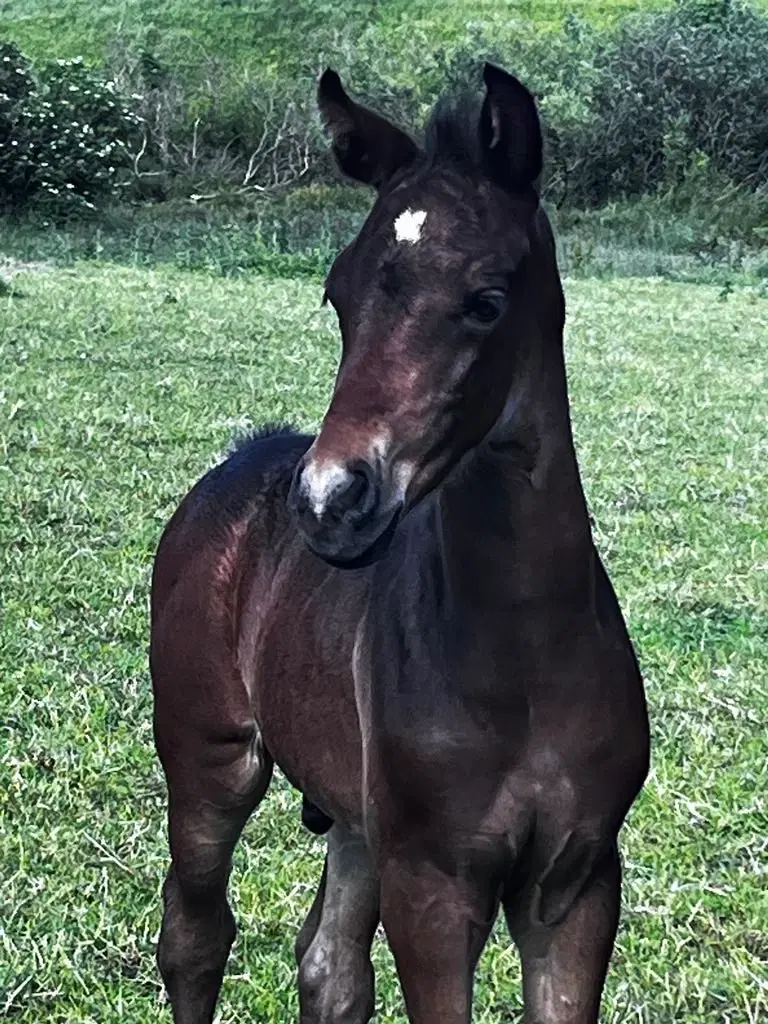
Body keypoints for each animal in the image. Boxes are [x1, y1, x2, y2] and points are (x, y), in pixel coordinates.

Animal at [150, 66, 651, 1024]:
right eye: (336, 294)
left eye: (486, 301)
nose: (330, 499)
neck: (527, 654)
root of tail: (242, 458)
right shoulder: (432, 882)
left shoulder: (577, 882)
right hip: (208, 755)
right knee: (195, 935)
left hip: (355, 815)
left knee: (329, 966)